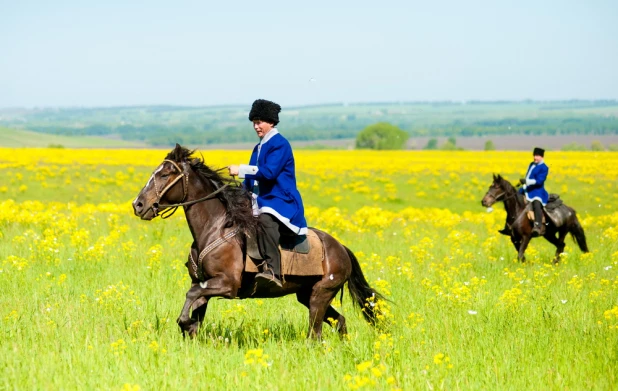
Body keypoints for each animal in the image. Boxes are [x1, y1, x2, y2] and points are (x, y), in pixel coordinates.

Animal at [131, 145, 380, 338]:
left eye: (165, 175)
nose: (138, 205)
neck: (214, 228)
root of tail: (341, 247)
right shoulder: (202, 282)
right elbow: (195, 307)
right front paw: (189, 328)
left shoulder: (227, 284)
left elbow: (191, 296)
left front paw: (184, 322)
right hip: (307, 295)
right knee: (340, 322)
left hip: (321, 294)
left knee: (315, 333)